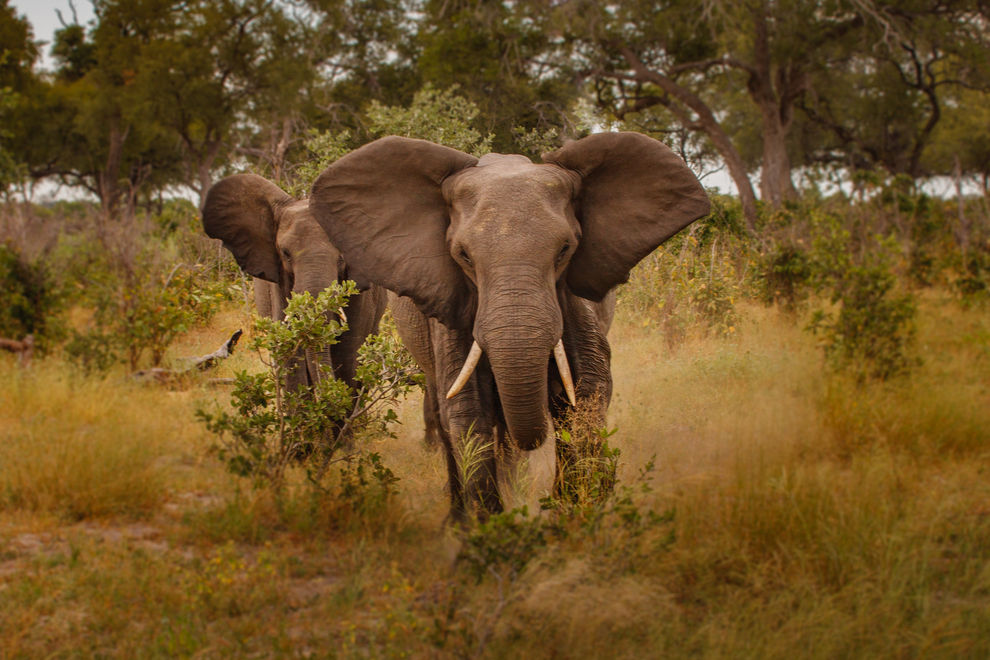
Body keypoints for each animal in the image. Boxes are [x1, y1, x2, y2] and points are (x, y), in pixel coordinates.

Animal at [310, 131, 712, 520]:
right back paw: (460, 514)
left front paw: (572, 516)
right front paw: (489, 528)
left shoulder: (573, 302)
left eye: (565, 250)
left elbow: (586, 393)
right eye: (463, 256)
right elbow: (468, 409)